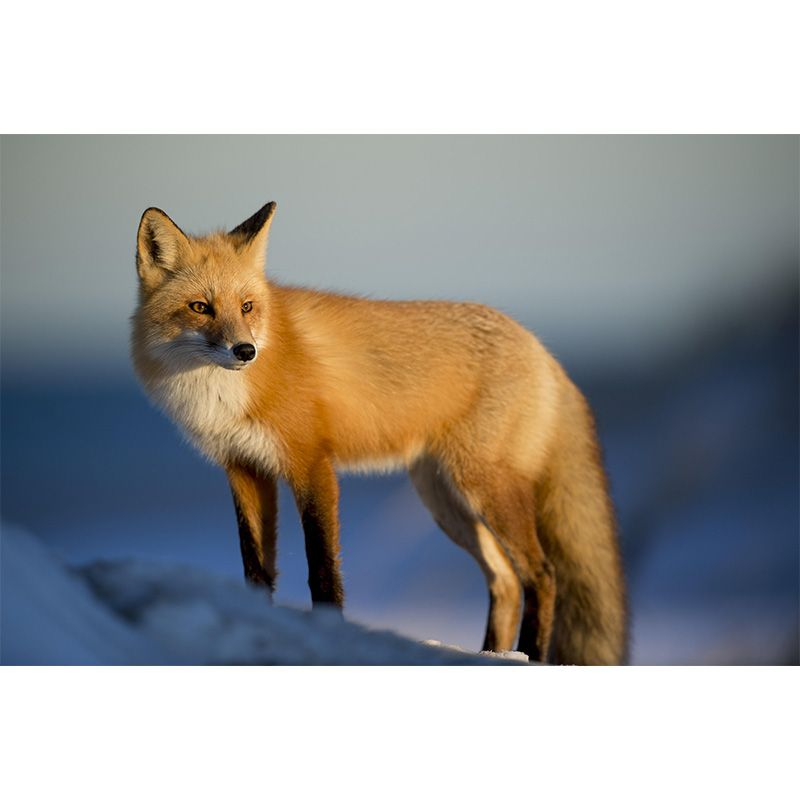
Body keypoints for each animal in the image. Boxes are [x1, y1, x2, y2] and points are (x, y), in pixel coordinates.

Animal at [130, 201, 628, 665]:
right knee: (505, 580)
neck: (222, 395)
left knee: (542, 575)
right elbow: (256, 569)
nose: (245, 350)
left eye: (247, 307)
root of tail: (541, 349)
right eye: (200, 307)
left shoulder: (311, 464)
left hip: (484, 488)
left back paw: (529, 655)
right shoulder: (244, 468)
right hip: (445, 500)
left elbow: (322, 569)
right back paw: (491, 654)